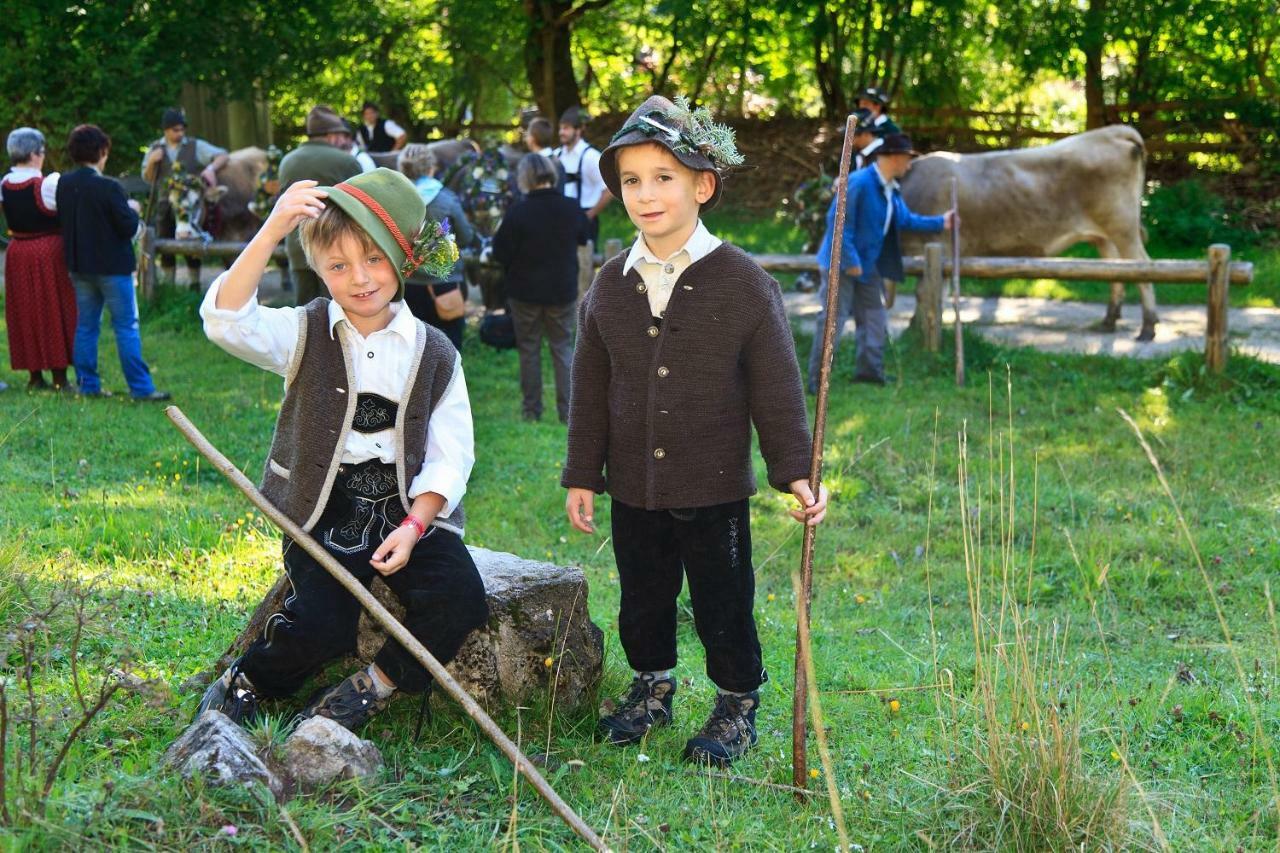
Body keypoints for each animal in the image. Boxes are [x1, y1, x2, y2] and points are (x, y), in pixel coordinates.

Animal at [901, 126, 1162, 338]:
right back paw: (1109, 321)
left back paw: (1148, 328)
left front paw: (914, 330)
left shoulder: (940, 245)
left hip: (1123, 228)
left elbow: (925, 292)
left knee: (1143, 267)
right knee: (1116, 270)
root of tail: (1114, 131)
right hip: (1104, 236)